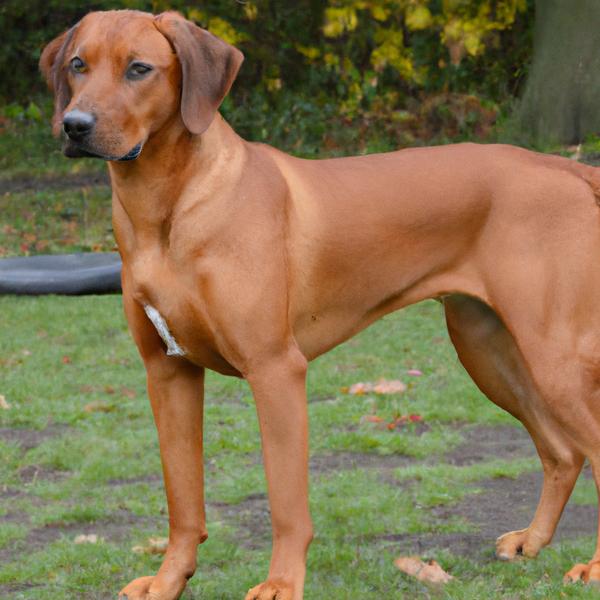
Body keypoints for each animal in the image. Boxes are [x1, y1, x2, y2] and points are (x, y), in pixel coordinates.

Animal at [43, 9, 600, 600]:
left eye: (139, 69)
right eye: (78, 65)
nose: (74, 125)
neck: (168, 207)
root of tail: (567, 168)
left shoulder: (275, 369)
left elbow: (287, 504)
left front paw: (282, 583)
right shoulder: (167, 371)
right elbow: (183, 504)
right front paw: (169, 581)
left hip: (554, 355)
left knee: (592, 446)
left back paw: (592, 565)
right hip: (488, 350)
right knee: (563, 451)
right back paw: (533, 541)